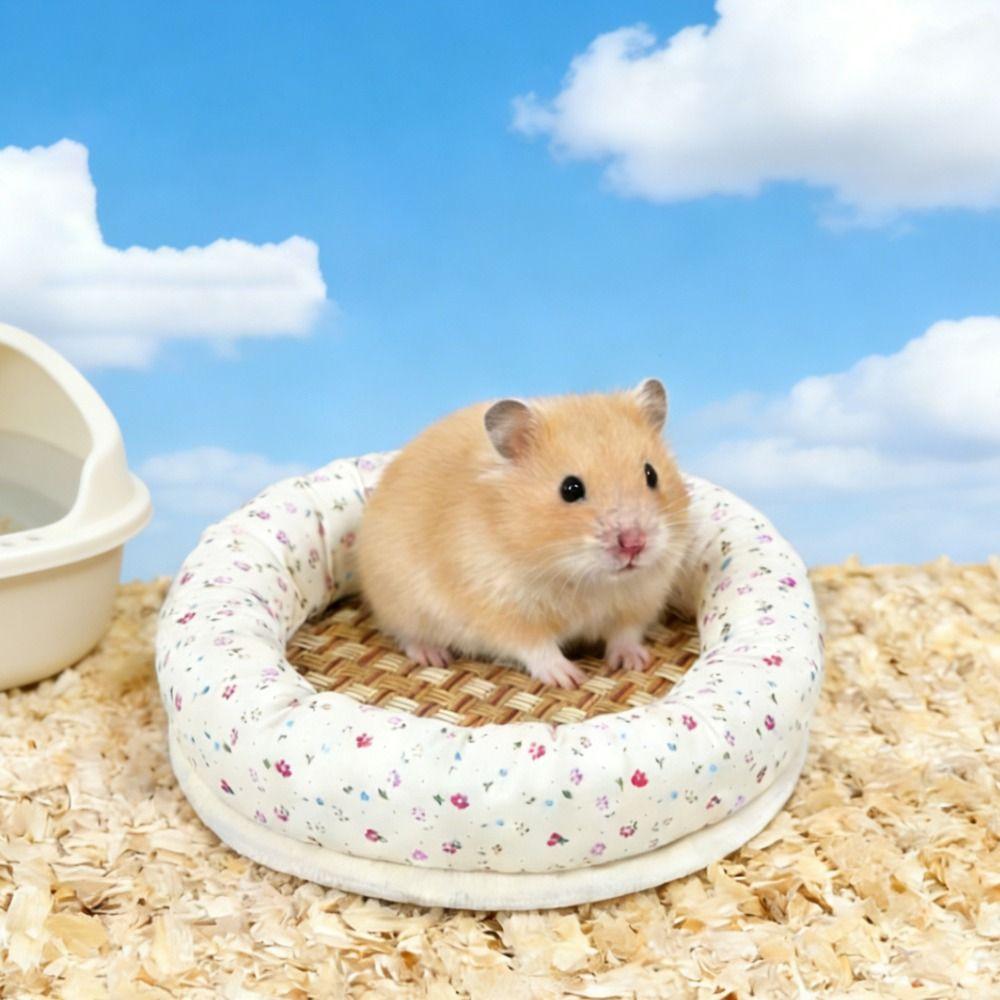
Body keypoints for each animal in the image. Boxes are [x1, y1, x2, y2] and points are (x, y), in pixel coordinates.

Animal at [356, 378, 691, 689]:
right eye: (570, 489)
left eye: (651, 474)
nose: (634, 544)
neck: (585, 579)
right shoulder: (503, 610)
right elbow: (536, 647)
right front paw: (570, 678)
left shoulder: (639, 601)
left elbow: (625, 633)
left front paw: (634, 662)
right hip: (401, 604)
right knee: (405, 634)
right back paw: (434, 656)